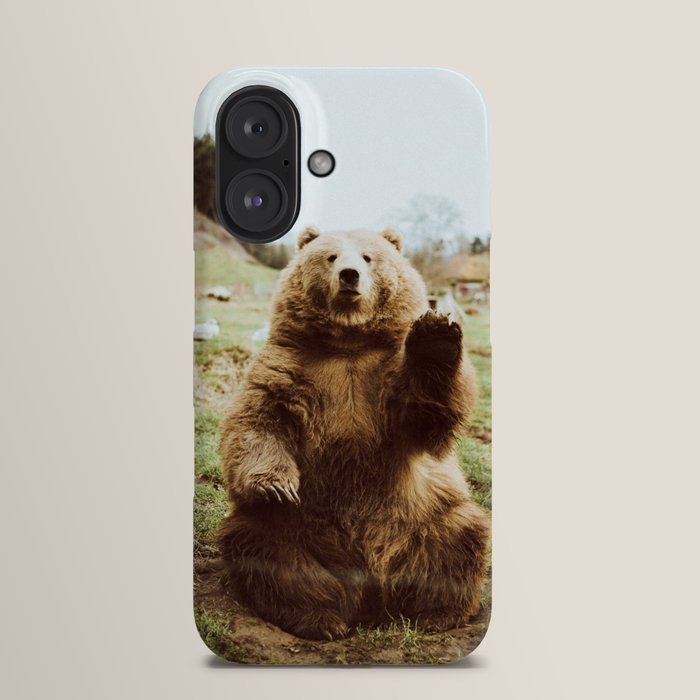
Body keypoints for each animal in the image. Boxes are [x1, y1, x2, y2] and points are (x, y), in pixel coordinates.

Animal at [217, 226, 490, 641]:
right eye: (330, 256)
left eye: (367, 257)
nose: (349, 275)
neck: (348, 343)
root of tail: (371, 589)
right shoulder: (287, 368)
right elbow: (258, 421)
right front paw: (276, 486)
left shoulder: (383, 380)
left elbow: (427, 415)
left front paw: (435, 334)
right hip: (296, 528)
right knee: (263, 547)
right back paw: (321, 618)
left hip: (425, 515)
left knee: (460, 536)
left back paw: (436, 613)